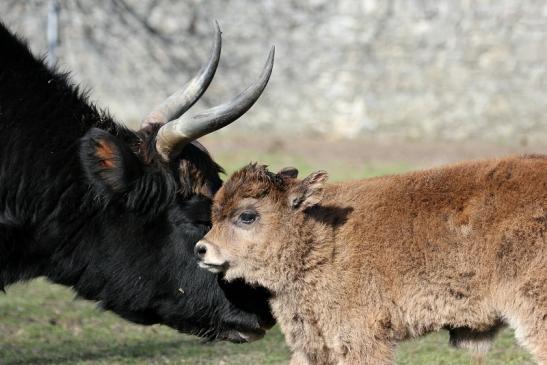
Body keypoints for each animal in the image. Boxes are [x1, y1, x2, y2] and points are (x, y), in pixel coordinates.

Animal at [197, 156, 547, 364]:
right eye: (215, 213)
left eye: (247, 215)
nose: (202, 249)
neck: (322, 235)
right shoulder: (314, 342)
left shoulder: (361, 338)